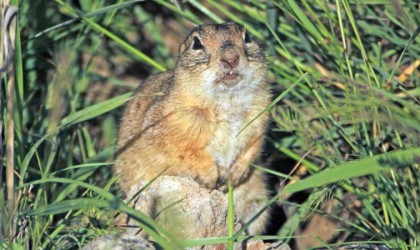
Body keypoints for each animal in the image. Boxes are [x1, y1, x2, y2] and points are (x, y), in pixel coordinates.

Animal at [115, 22, 272, 234]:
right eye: (197, 44)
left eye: (247, 37)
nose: (231, 58)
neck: (227, 101)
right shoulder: (175, 123)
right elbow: (187, 153)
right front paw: (213, 178)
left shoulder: (259, 119)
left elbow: (253, 146)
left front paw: (234, 175)